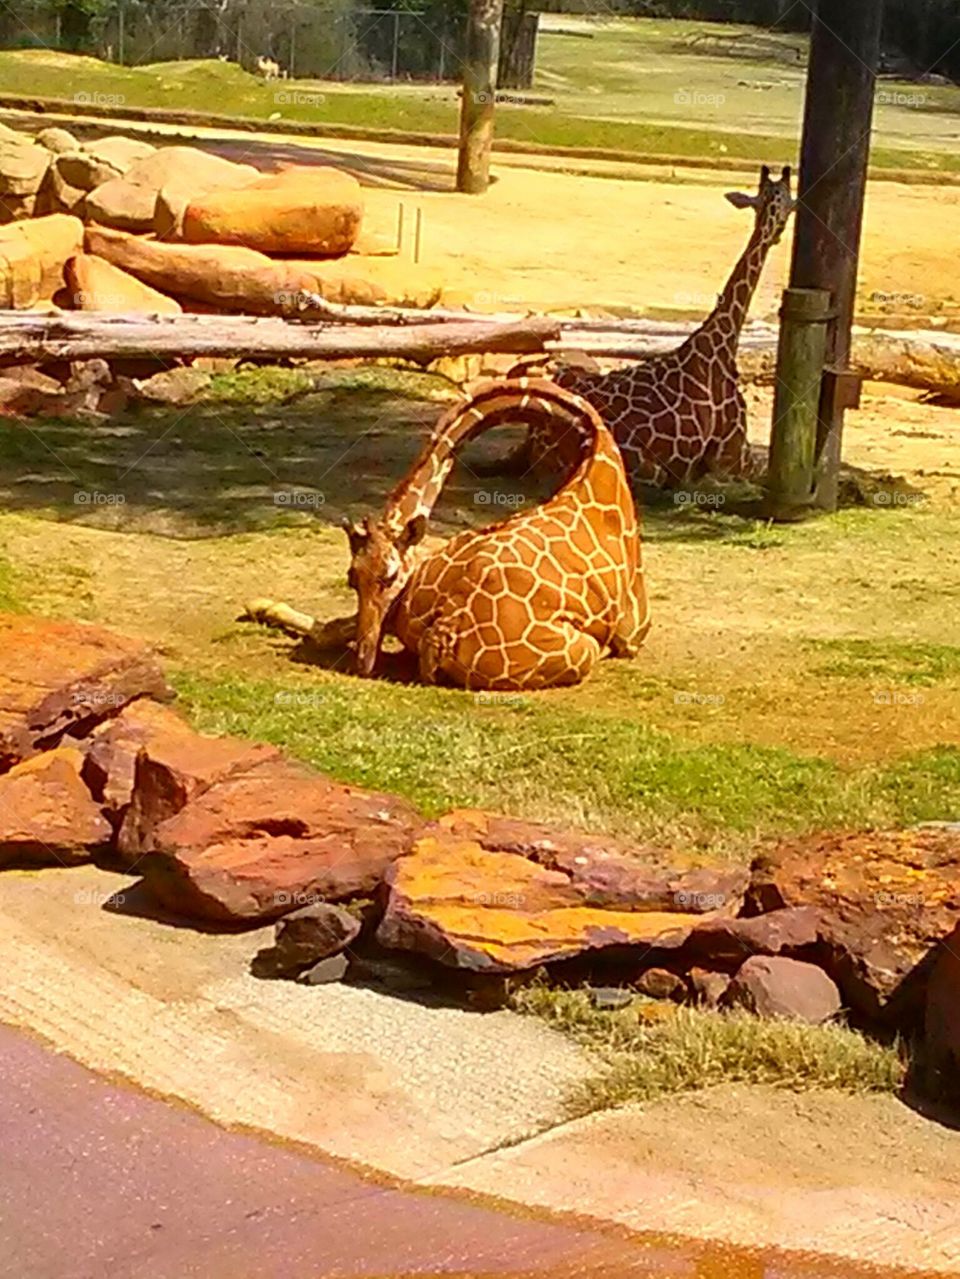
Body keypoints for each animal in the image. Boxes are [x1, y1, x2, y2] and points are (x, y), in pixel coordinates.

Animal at [244, 378, 650, 691]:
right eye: (351, 578)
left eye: (389, 574)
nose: (364, 660)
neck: (592, 456)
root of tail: (446, 631)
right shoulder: (632, 632)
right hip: (583, 649)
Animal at [502, 165, 796, 489]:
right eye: (790, 201)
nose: (778, 233)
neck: (722, 342)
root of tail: (537, 440)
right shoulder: (735, 461)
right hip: (647, 470)